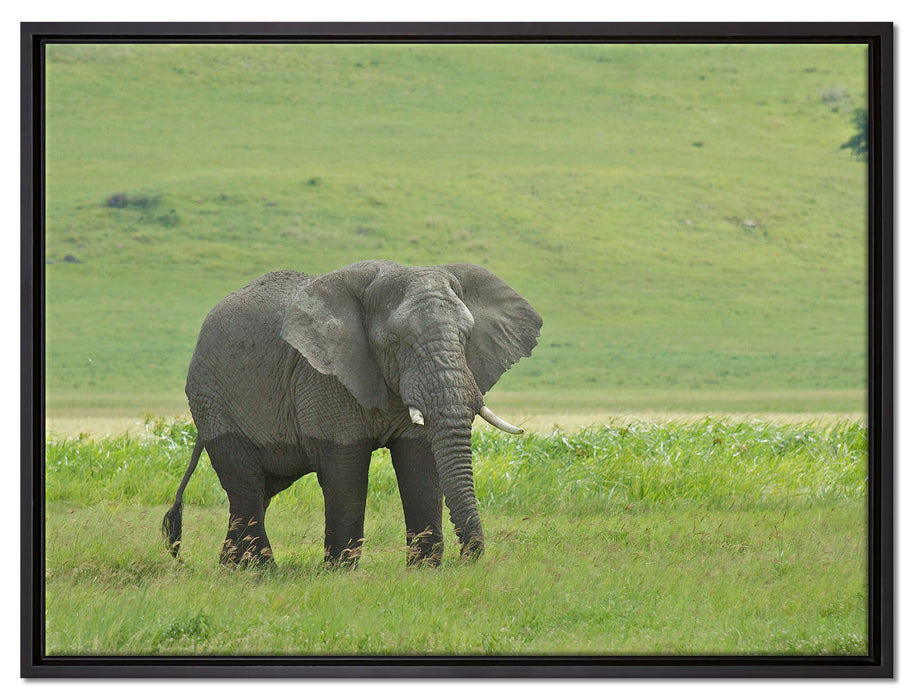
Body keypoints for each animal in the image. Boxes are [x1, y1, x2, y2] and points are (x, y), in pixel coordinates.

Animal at [162, 260, 542, 568]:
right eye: (394, 342)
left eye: (467, 337)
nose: (468, 558)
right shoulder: (322, 376)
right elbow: (345, 468)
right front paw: (340, 572)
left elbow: (420, 463)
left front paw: (424, 570)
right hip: (212, 398)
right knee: (246, 485)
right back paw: (261, 571)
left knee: (262, 489)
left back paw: (232, 568)